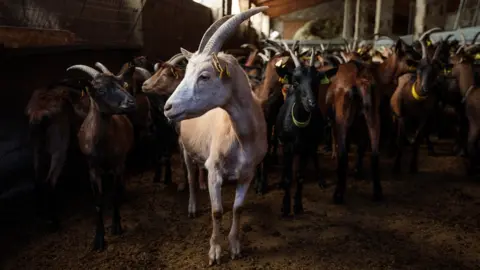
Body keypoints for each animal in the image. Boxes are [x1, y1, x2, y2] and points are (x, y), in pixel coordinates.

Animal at [66, 63, 137, 251]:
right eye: (100, 90)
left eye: (122, 83)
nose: (131, 102)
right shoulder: (92, 168)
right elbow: (98, 201)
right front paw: (98, 239)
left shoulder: (117, 164)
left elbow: (114, 195)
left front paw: (116, 226)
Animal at [164, 6, 270, 266]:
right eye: (186, 73)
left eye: (204, 76)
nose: (168, 107)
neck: (241, 138)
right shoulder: (216, 172)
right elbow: (217, 211)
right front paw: (214, 251)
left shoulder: (248, 173)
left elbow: (237, 209)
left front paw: (235, 246)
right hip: (185, 148)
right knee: (191, 177)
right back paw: (192, 205)